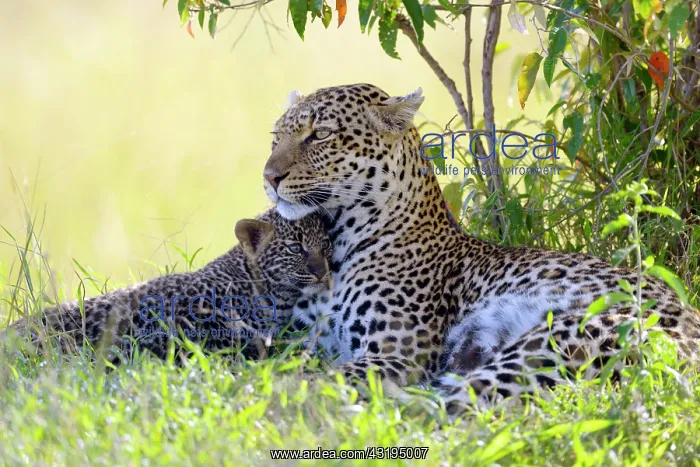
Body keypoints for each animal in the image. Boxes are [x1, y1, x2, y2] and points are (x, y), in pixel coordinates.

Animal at [261, 83, 700, 416]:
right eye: (276, 137)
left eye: (320, 134)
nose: (269, 177)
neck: (340, 238)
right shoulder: (294, 336)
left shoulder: (398, 355)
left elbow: (308, 377)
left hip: (558, 338)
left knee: (441, 410)